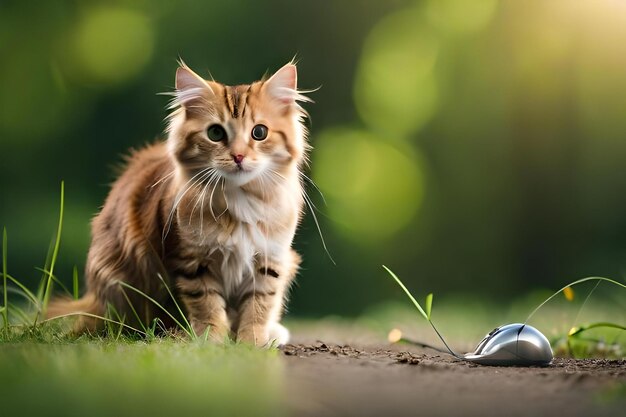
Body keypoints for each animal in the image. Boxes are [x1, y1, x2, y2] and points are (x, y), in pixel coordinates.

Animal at [47, 59, 312, 344]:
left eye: (259, 132)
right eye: (215, 133)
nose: (239, 156)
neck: (240, 200)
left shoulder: (270, 259)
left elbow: (259, 306)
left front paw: (251, 342)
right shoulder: (191, 260)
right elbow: (206, 304)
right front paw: (211, 341)